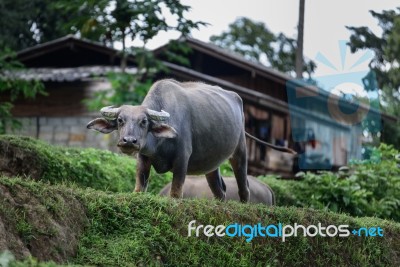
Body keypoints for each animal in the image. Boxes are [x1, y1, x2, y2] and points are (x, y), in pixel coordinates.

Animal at [87, 79, 294, 203]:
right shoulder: (143, 157)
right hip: (212, 164)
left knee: (244, 187)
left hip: (240, 150)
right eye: (120, 120)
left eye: (144, 122)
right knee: (219, 190)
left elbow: (176, 191)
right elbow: (140, 184)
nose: (129, 141)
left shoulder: (182, 158)